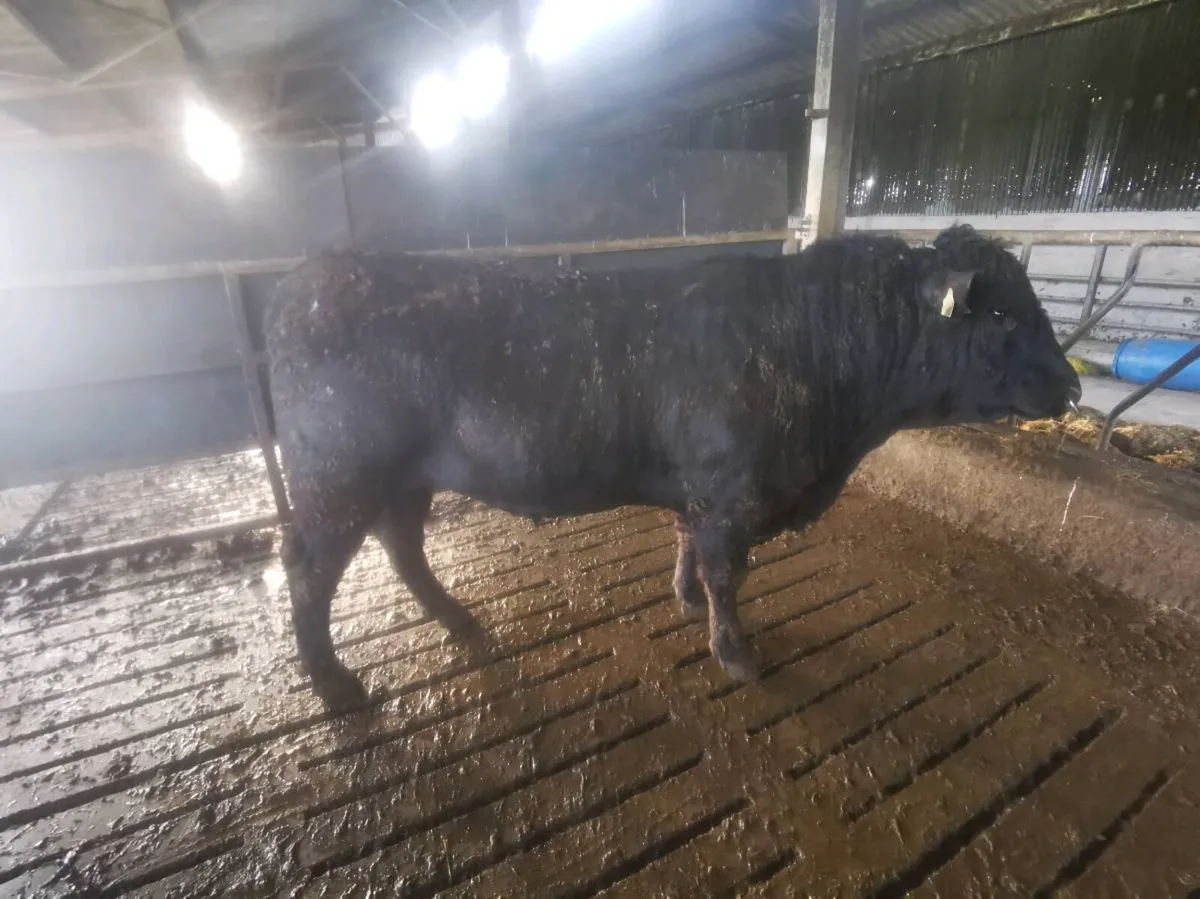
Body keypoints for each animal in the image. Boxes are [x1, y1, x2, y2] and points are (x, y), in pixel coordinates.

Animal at [264, 224, 1081, 709]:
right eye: (1001, 314)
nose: (1072, 386)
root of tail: (316, 274)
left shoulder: (700, 490)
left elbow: (685, 543)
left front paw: (685, 600)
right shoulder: (732, 496)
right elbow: (726, 573)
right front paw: (736, 652)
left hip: (404, 477)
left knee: (402, 545)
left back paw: (460, 621)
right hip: (339, 478)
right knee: (308, 569)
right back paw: (336, 684)